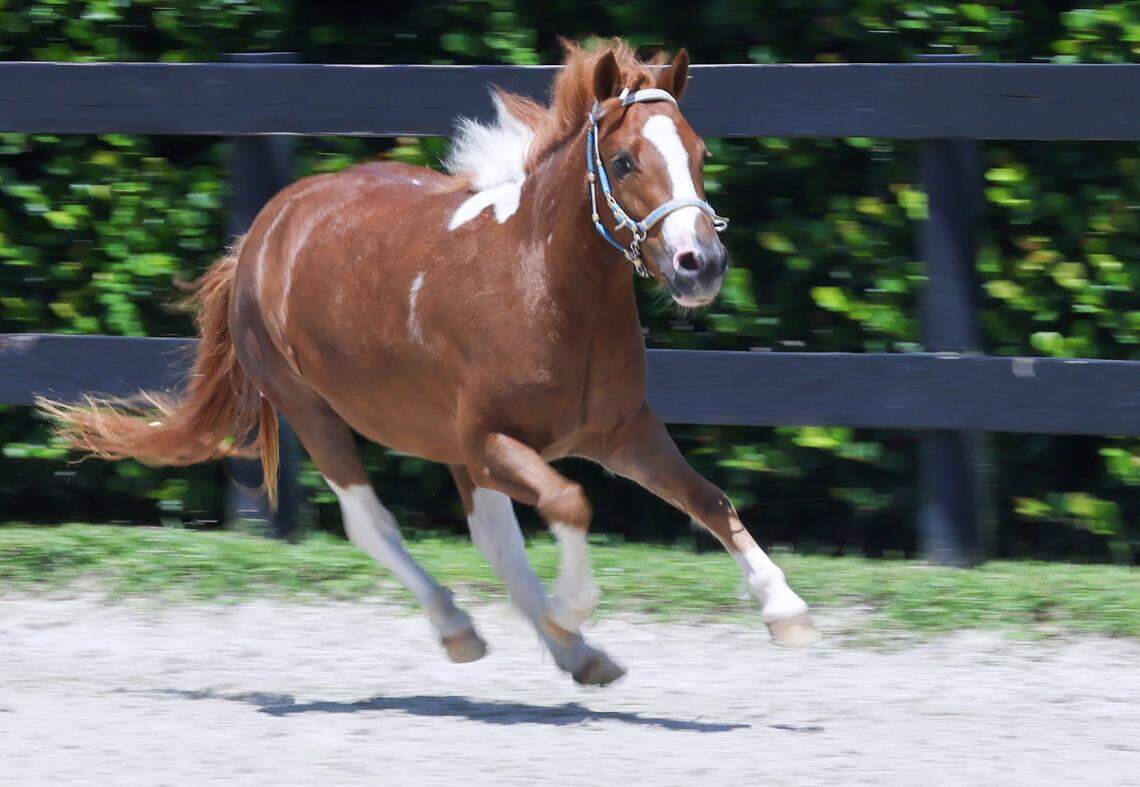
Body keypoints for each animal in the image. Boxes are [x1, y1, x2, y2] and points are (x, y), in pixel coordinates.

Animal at [40, 39, 820, 686]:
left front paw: (786, 610)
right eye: (626, 161)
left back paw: (577, 654)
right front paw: (573, 605)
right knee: (373, 523)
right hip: (315, 412)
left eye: (700, 154)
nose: (700, 264)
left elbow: (708, 500)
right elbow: (572, 500)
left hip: (446, 444)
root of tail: (262, 231)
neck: (544, 289)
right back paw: (465, 630)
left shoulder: (622, 432)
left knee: (493, 538)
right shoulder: (492, 440)